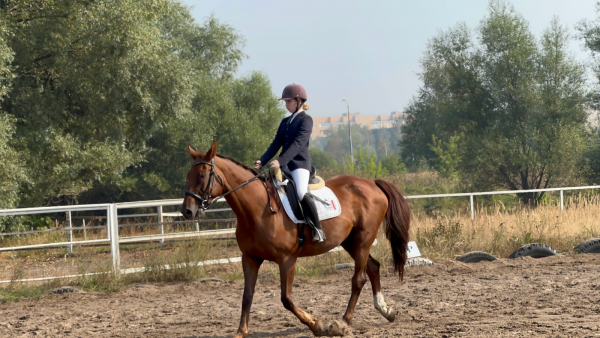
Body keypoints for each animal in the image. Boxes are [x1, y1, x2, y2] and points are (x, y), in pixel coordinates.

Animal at [180, 141, 410, 338]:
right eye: (188, 175)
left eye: (203, 175)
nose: (187, 211)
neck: (255, 209)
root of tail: (372, 183)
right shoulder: (250, 258)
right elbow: (247, 296)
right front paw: (241, 332)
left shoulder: (287, 259)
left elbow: (286, 299)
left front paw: (316, 325)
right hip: (350, 242)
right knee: (373, 267)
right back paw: (386, 310)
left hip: (363, 240)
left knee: (359, 278)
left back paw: (343, 321)